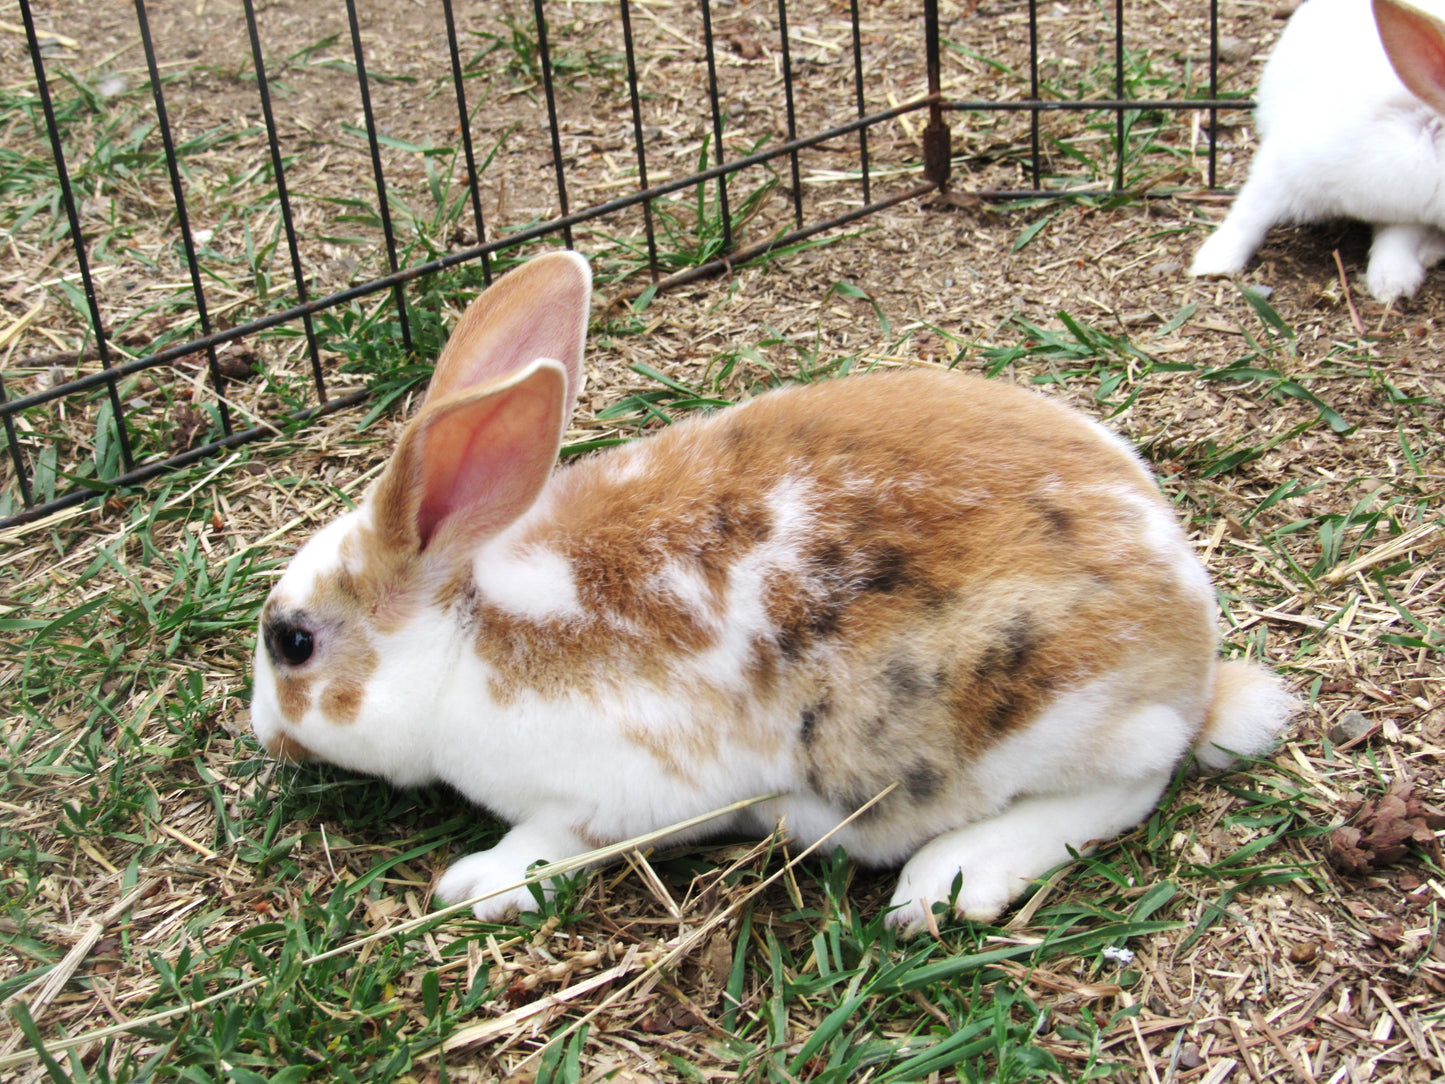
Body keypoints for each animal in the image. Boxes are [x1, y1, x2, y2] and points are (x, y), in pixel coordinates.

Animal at [248, 254, 1300, 936]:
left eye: (292, 643)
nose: (263, 732)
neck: (463, 633)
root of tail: (1190, 647)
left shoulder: (608, 792)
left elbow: (549, 841)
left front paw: (473, 887)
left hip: (1039, 718)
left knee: (1122, 789)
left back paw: (942, 886)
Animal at [1190, 0, 1445, 302]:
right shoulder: (1284, 168)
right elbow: (1250, 216)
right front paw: (1212, 262)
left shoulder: (1406, 213)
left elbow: (1397, 238)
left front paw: (1392, 284)